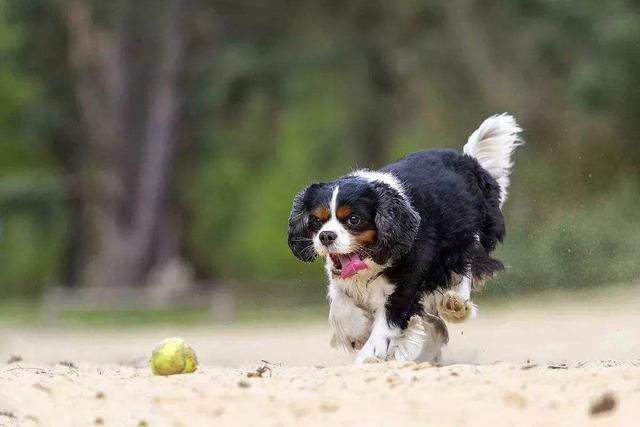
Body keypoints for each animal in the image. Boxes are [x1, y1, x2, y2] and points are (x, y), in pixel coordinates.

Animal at [288, 114, 524, 364]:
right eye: (316, 220)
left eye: (354, 219)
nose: (326, 236)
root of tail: (469, 160)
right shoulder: (342, 279)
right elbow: (340, 301)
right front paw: (356, 332)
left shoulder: (403, 290)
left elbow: (384, 329)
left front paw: (367, 358)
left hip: (465, 240)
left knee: (465, 268)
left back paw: (456, 305)